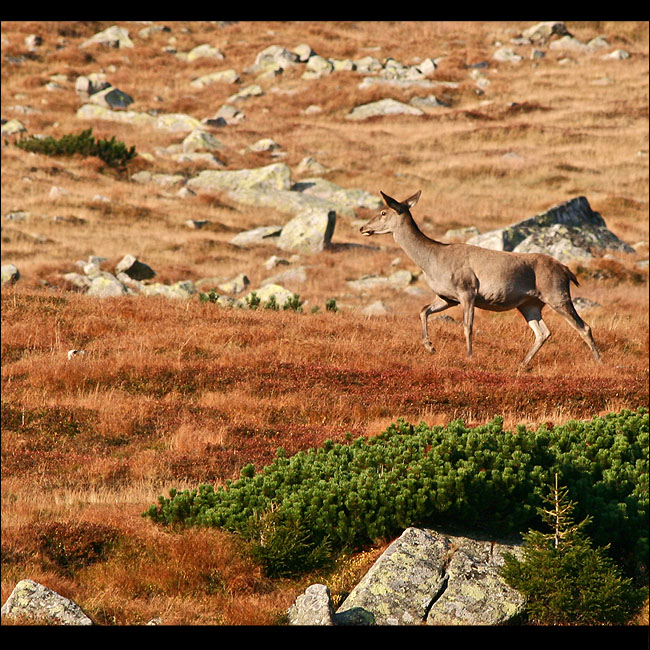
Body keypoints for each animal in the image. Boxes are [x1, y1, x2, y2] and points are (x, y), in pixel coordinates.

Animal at [356, 190, 600, 368]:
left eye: (383, 212)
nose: (363, 227)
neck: (432, 262)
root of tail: (566, 270)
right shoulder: (447, 297)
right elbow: (423, 310)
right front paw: (430, 347)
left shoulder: (467, 289)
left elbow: (468, 326)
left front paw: (469, 357)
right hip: (529, 303)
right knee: (543, 332)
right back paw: (522, 364)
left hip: (556, 293)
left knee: (583, 326)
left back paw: (599, 361)